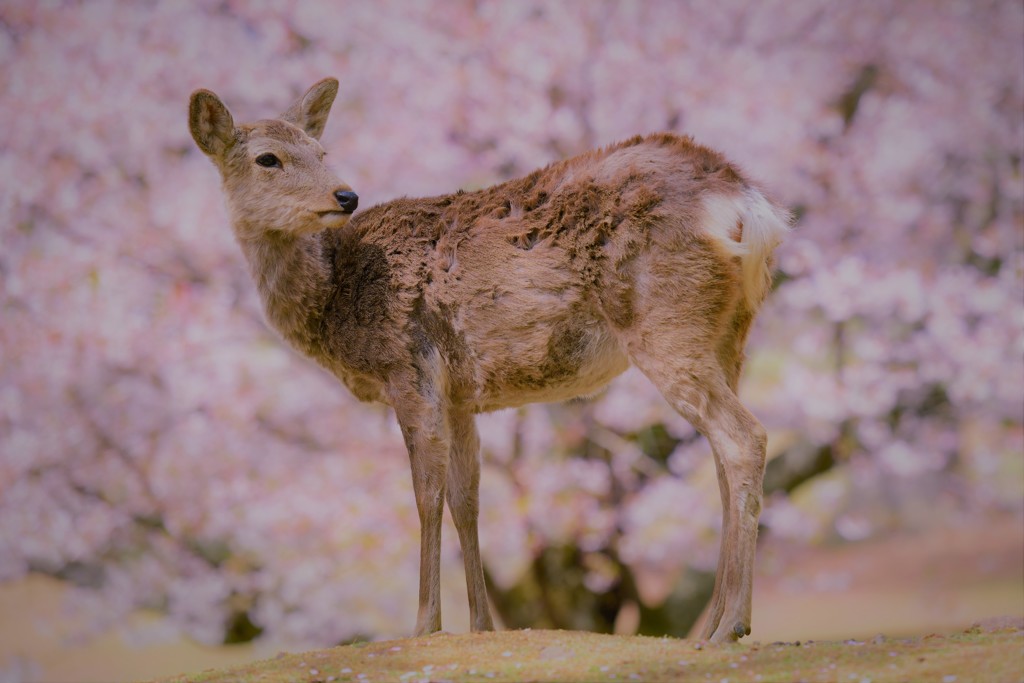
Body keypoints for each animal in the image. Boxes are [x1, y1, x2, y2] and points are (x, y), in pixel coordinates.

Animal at [186, 77, 790, 643]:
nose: (345, 195)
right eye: (268, 157)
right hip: (729, 334)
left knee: (745, 438)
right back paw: (714, 624)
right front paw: (481, 625)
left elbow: (425, 492)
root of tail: (747, 203)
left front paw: (426, 625)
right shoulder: (459, 394)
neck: (335, 300)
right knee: (720, 453)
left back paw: (731, 625)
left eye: (321, 150)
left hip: (665, 321)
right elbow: (466, 498)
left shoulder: (407, 365)